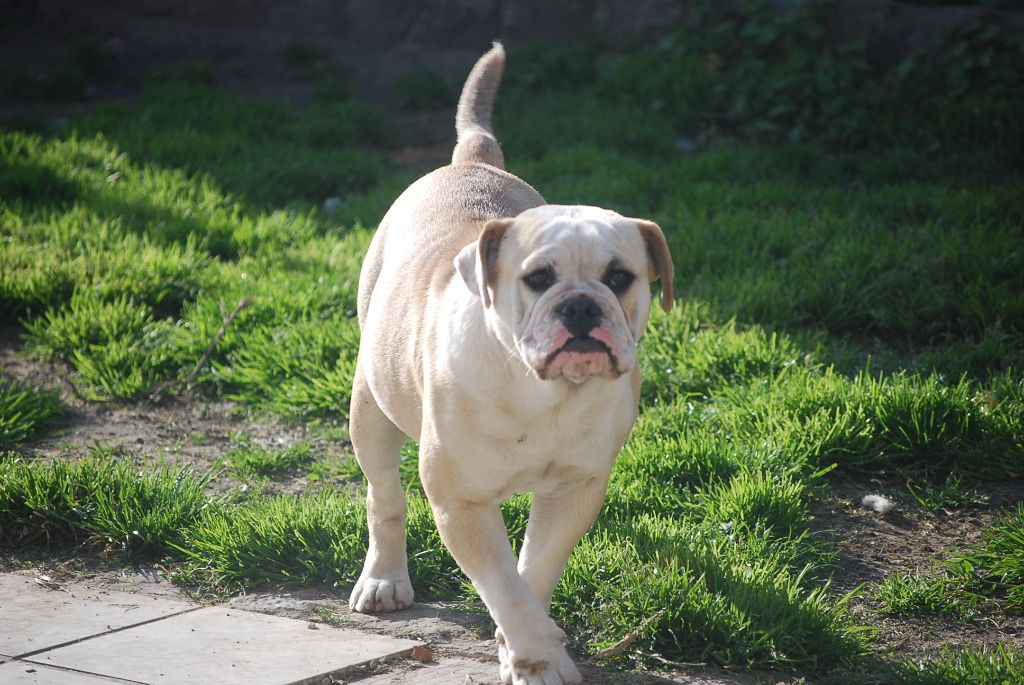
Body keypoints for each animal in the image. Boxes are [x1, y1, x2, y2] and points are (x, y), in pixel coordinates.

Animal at [348, 44, 675, 683]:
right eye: (538, 278)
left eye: (620, 277)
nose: (580, 304)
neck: (543, 394)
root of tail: (469, 160)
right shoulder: (460, 503)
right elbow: (502, 581)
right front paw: (538, 658)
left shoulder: (576, 488)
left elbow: (532, 572)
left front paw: (522, 647)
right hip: (370, 406)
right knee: (385, 496)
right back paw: (384, 579)